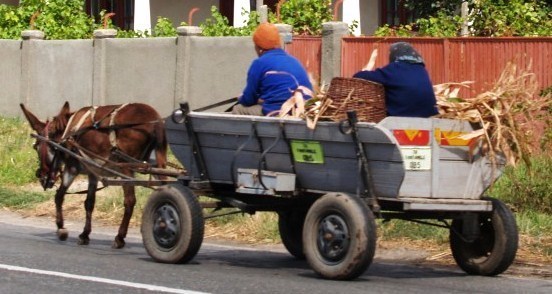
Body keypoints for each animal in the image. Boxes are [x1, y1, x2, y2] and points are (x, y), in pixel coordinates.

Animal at [20, 101, 167, 248]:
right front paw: (85, 234)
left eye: (36, 147)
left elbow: (59, 196)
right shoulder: (93, 172)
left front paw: (61, 228)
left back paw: (120, 237)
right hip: (157, 164)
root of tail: (155, 121)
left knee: (130, 201)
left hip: (126, 168)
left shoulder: (72, 168)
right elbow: (89, 202)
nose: (41, 176)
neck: (67, 134)